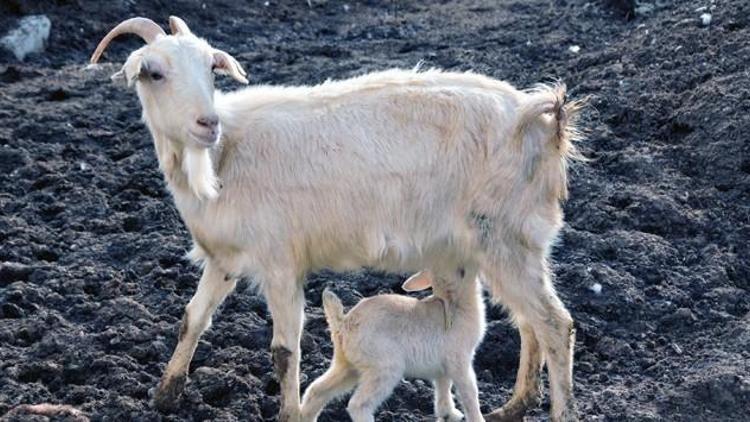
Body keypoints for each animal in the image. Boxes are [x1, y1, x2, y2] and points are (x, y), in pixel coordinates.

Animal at [304, 268, 488, 420]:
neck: (455, 303)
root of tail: (343, 324)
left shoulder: (443, 365)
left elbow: (443, 386)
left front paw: (448, 414)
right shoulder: (459, 361)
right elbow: (470, 393)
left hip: (347, 365)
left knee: (316, 390)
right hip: (384, 368)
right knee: (358, 405)